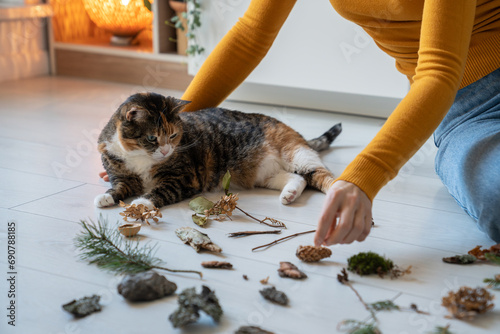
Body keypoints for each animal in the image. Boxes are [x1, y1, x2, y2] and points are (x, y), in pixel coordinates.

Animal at [94, 92, 342, 209]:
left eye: (173, 136)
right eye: (152, 138)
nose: (165, 151)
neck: (139, 158)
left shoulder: (183, 179)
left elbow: (159, 192)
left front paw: (140, 204)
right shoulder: (122, 176)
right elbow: (119, 187)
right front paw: (105, 198)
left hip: (296, 155)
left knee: (320, 176)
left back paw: (336, 194)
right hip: (266, 175)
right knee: (298, 179)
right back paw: (289, 195)